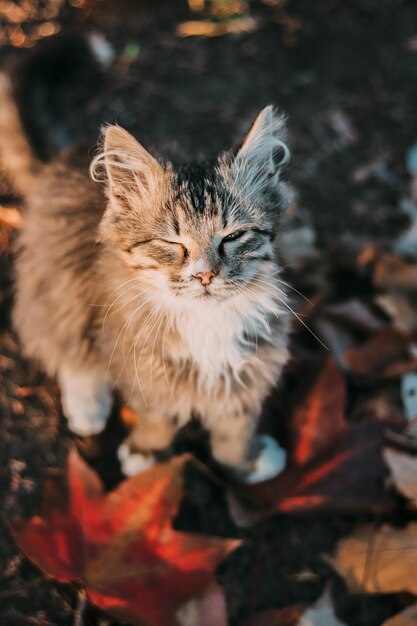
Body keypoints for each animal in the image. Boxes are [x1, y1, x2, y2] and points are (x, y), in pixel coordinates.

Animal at [0, 50, 290, 478]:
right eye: (171, 243)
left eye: (233, 237)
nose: (205, 275)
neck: (204, 323)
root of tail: (64, 161)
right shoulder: (137, 363)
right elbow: (155, 416)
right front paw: (148, 454)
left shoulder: (248, 367)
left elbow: (235, 426)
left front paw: (245, 460)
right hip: (61, 285)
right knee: (66, 348)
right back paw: (87, 407)